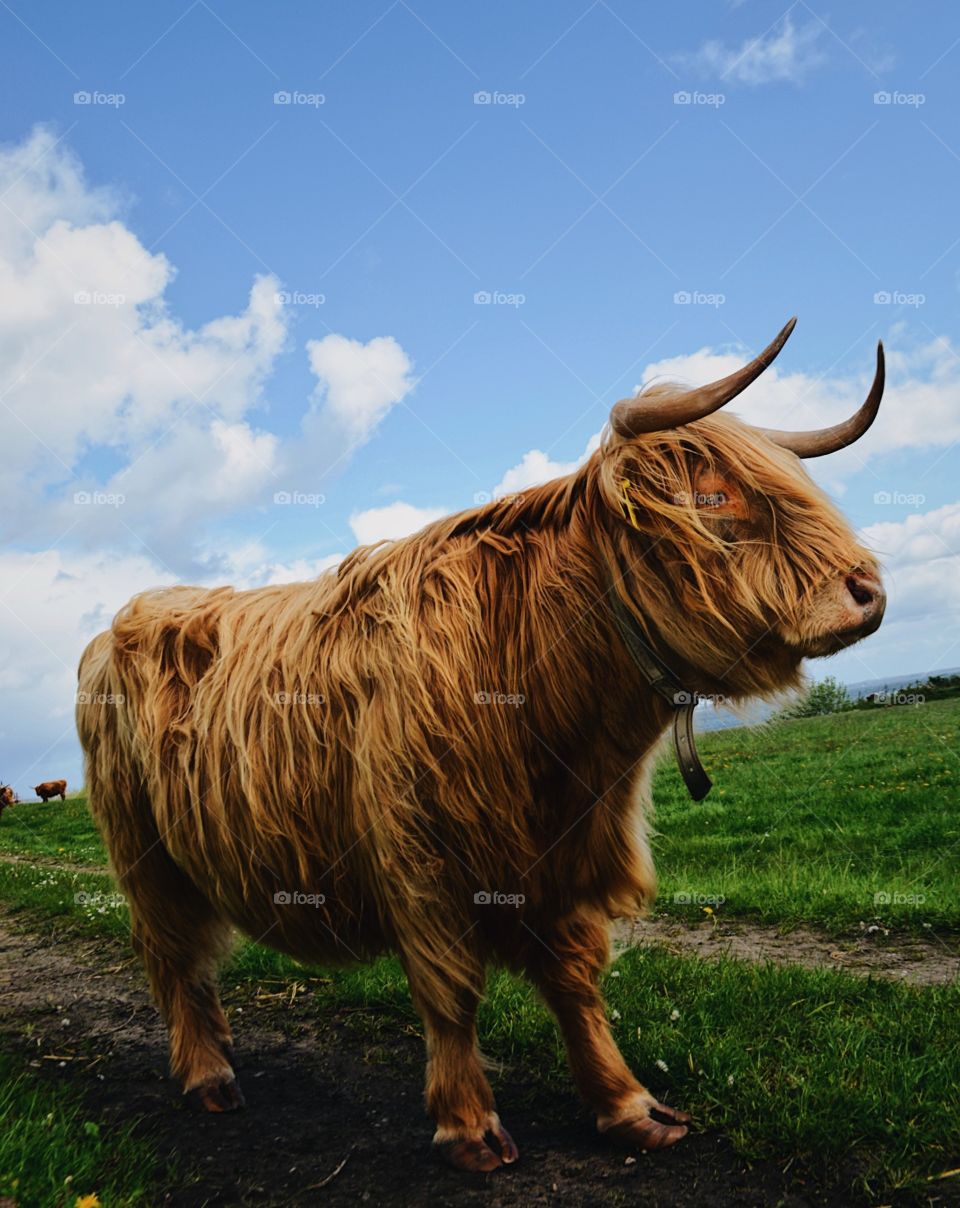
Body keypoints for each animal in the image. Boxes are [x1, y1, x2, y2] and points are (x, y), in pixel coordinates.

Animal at [77, 319, 886, 1171]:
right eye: (714, 497)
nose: (867, 592)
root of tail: (124, 618)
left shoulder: (566, 854)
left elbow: (577, 983)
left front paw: (628, 1106)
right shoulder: (421, 860)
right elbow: (450, 992)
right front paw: (469, 1124)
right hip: (145, 856)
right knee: (174, 957)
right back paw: (207, 1075)